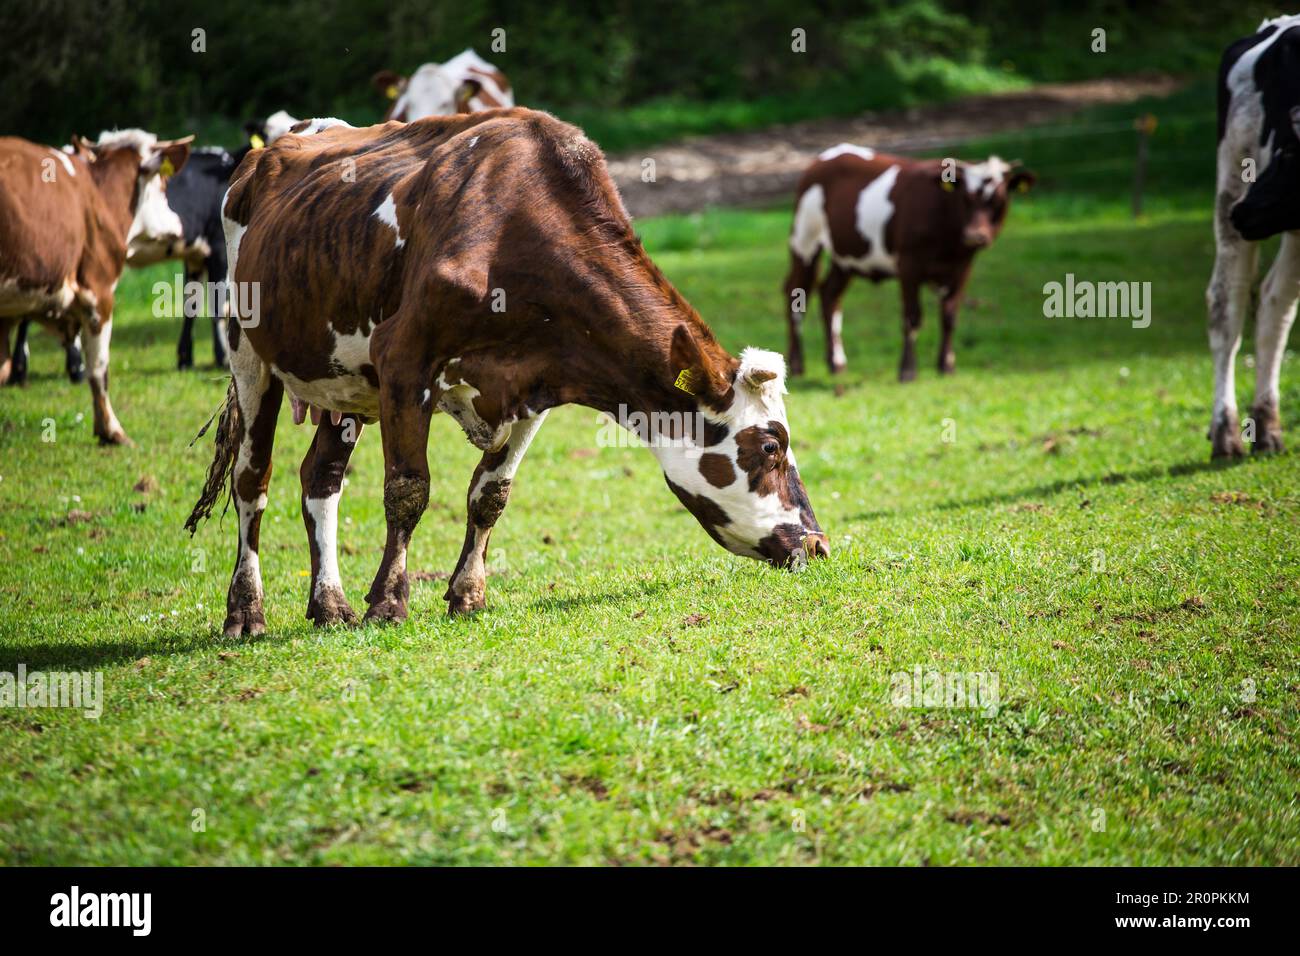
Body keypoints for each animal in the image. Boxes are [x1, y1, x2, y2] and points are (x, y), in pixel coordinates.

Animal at [0, 128, 191, 442]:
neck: (99, 193)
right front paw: (111, 431)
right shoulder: (98, 292)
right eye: (163, 185)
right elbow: (99, 368)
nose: (178, 225)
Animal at [188, 108, 826, 634]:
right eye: (770, 447)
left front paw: (467, 594)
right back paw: (246, 611)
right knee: (252, 480)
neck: (516, 233)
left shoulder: (536, 386)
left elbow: (490, 494)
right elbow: (408, 490)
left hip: (344, 382)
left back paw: (328, 604)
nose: (817, 544)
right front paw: (389, 603)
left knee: (320, 477)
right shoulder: (404, 361)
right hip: (248, 351)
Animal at [780, 143, 1034, 382]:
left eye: (999, 200)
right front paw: (908, 371)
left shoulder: (963, 266)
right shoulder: (909, 264)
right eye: (965, 198)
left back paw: (837, 362)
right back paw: (796, 365)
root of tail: (827, 157)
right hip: (805, 239)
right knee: (796, 293)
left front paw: (946, 366)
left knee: (829, 295)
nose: (975, 236)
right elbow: (912, 317)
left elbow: (950, 316)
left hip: (846, 256)